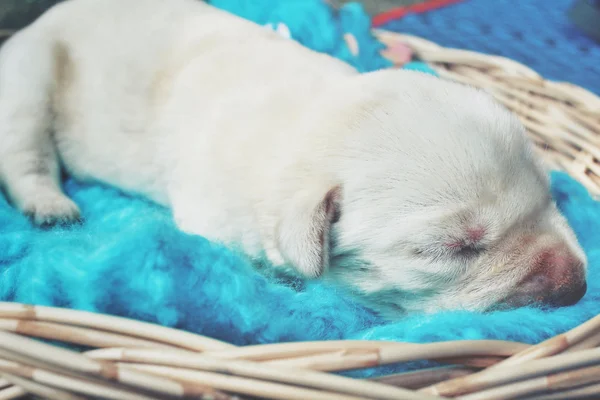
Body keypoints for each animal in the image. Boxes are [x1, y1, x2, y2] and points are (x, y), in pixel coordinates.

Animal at [0, 0, 584, 318]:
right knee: (25, 159)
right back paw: (50, 206)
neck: (310, 126)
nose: (579, 284)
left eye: (549, 197)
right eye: (452, 248)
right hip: (27, 80)